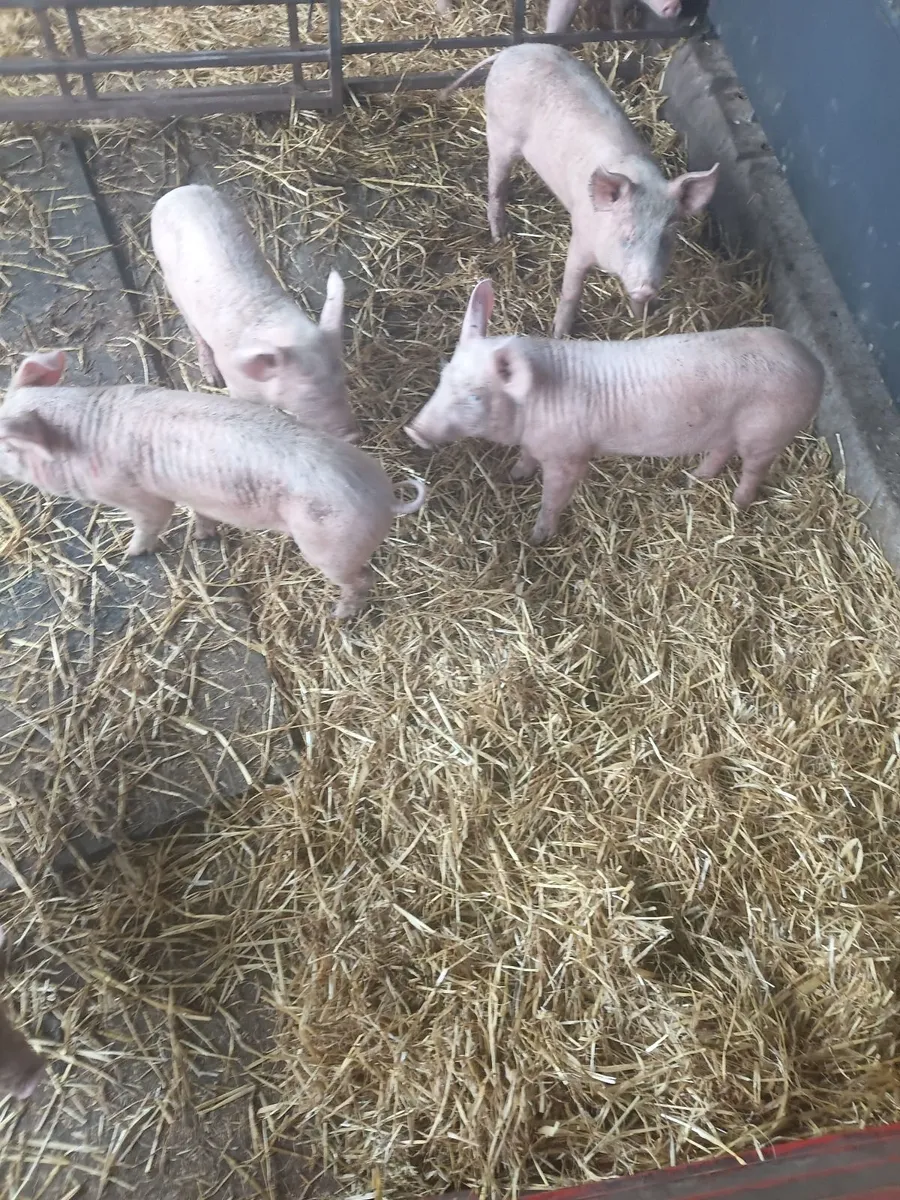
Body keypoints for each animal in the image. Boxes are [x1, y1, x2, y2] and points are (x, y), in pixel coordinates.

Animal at [1, 351, 425, 618]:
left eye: (6, 446)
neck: (80, 438)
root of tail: (384, 498)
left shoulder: (139, 496)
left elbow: (152, 521)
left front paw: (131, 553)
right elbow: (200, 514)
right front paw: (201, 536)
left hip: (330, 547)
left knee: (361, 579)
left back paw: (339, 616)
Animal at [150, 184, 359, 442]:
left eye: (342, 381)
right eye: (309, 394)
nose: (353, 436)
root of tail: (179, 191)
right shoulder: (238, 385)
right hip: (171, 280)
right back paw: (212, 377)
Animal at [404, 280, 824, 544]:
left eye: (474, 396)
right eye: (442, 375)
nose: (413, 430)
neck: (533, 404)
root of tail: (813, 363)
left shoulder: (570, 455)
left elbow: (554, 497)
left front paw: (537, 536)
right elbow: (526, 460)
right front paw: (514, 475)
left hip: (768, 430)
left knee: (754, 468)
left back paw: (737, 504)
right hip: (729, 427)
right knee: (721, 450)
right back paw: (691, 480)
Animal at [440, 44, 719, 336]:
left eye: (665, 239)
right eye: (627, 235)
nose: (645, 288)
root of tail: (510, 50)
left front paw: (640, 319)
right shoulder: (580, 240)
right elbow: (571, 292)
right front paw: (558, 334)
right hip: (499, 134)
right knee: (496, 185)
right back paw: (499, 238)